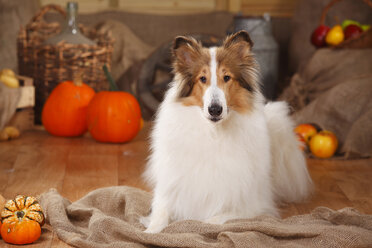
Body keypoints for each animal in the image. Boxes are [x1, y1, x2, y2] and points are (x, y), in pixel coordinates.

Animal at [141, 30, 312, 232]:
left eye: (227, 77)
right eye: (203, 78)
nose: (215, 110)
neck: (214, 133)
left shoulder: (250, 207)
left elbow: (210, 221)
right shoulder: (168, 191)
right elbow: (160, 214)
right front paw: (150, 231)